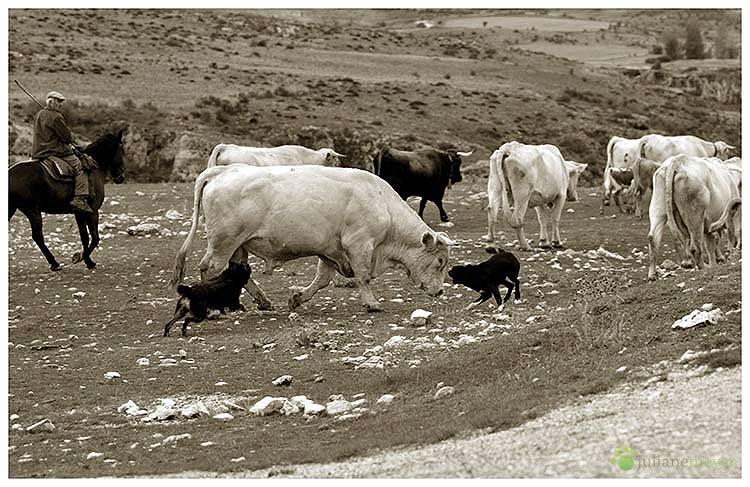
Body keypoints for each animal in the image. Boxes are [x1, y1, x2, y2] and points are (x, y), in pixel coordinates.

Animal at [9, 130, 126, 272]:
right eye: (122, 151)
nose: (121, 177)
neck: (95, 168)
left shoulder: (79, 213)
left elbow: (84, 237)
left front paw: (87, 260)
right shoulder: (93, 212)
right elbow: (95, 238)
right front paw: (81, 257)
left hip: (13, 209)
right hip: (32, 211)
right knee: (38, 237)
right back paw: (54, 263)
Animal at [172, 162, 452, 310]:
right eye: (440, 261)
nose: (440, 292)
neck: (382, 203)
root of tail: (224, 170)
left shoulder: (330, 251)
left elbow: (322, 280)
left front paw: (297, 298)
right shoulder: (359, 245)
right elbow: (362, 277)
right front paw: (372, 303)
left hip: (239, 245)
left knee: (239, 272)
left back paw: (263, 301)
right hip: (223, 243)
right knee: (210, 268)